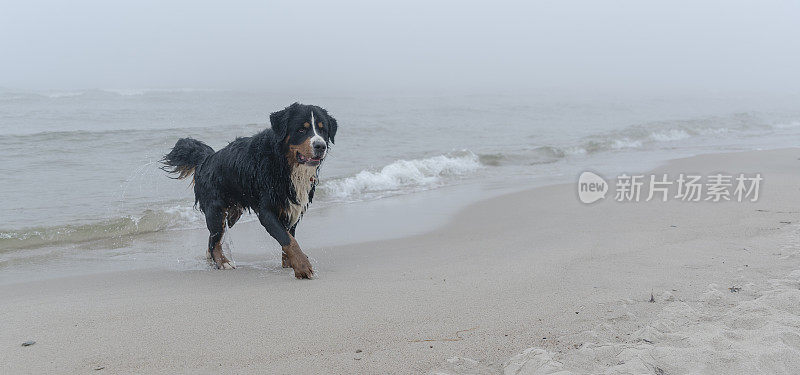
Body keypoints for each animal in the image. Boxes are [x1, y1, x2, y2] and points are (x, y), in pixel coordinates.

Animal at [162, 103, 338, 280]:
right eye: (301, 129)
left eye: (323, 130)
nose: (320, 146)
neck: (283, 162)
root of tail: (206, 159)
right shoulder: (267, 211)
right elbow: (288, 239)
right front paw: (302, 266)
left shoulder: (292, 208)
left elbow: (289, 236)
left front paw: (290, 263)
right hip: (216, 210)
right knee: (214, 240)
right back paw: (223, 262)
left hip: (232, 213)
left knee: (214, 238)